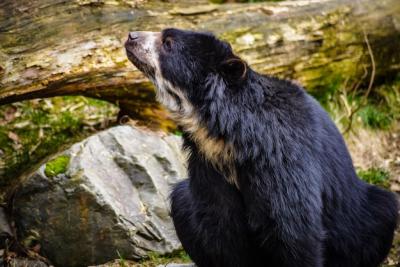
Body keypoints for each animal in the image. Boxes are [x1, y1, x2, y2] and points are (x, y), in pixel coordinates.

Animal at [124, 28, 396, 266]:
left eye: (168, 43)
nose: (131, 36)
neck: (223, 134)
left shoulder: (280, 156)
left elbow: (293, 226)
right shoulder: (208, 164)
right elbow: (219, 224)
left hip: (364, 216)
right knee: (182, 198)